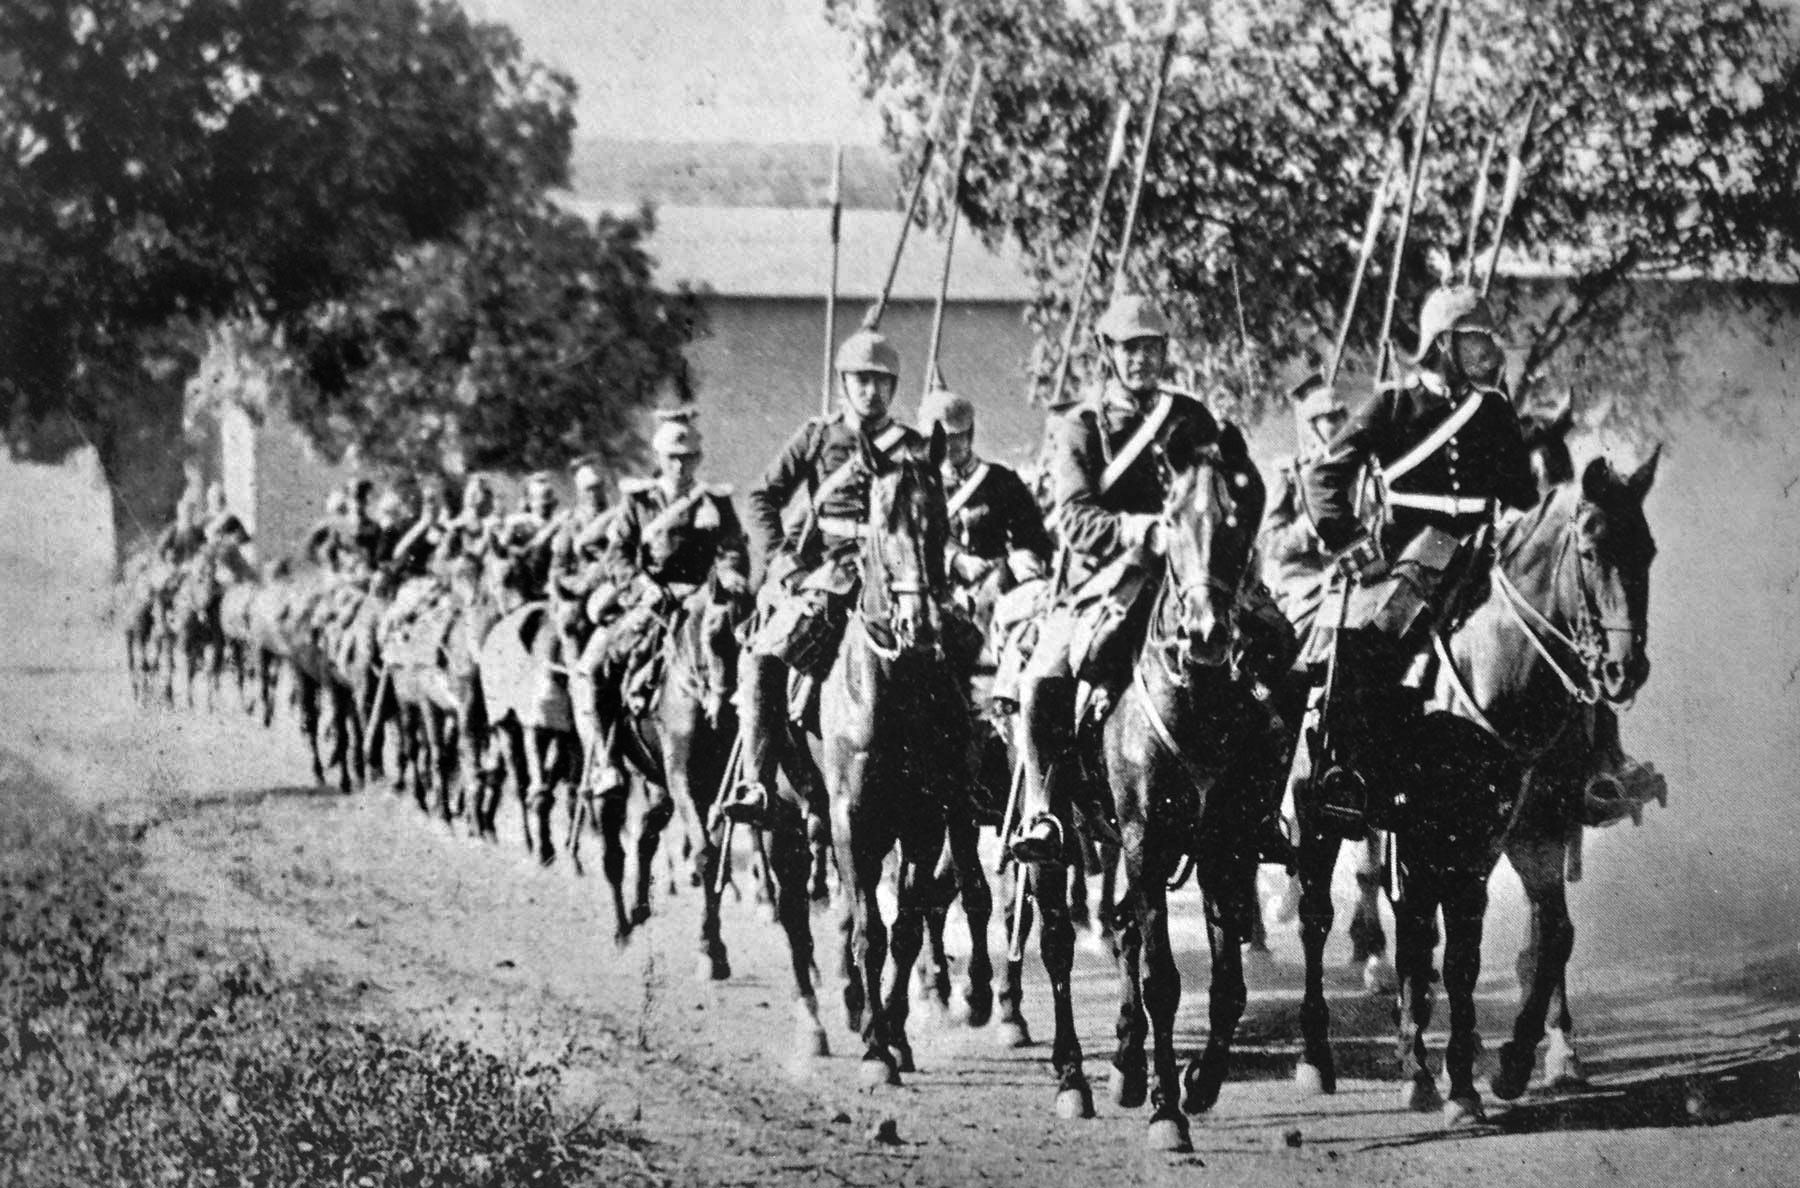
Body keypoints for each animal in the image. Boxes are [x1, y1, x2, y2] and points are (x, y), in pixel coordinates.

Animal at [1296, 446, 1656, 1123]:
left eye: (1646, 549)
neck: (1504, 673)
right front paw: (1437, 1074)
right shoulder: (1427, 836)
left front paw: (1502, 1067)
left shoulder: (1524, 831)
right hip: (1319, 820)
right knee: (1316, 919)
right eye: (1591, 549)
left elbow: (1539, 938)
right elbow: (1435, 945)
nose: (1625, 669)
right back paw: (1315, 1058)